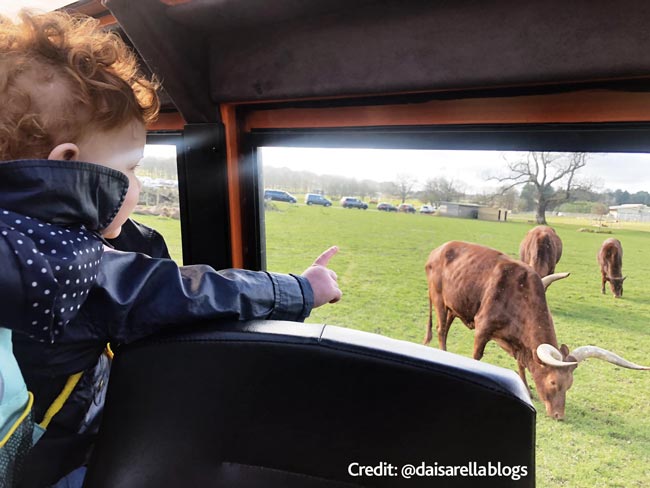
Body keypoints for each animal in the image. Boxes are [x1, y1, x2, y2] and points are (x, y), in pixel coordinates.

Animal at [422, 240, 644, 420]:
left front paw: (526, 390)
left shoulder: (519, 344)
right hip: (439, 300)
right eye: (553, 382)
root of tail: (437, 251)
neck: (518, 294)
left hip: (454, 305)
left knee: (445, 328)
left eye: (570, 384)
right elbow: (477, 357)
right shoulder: (483, 329)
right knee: (441, 330)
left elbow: (521, 365)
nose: (559, 415)